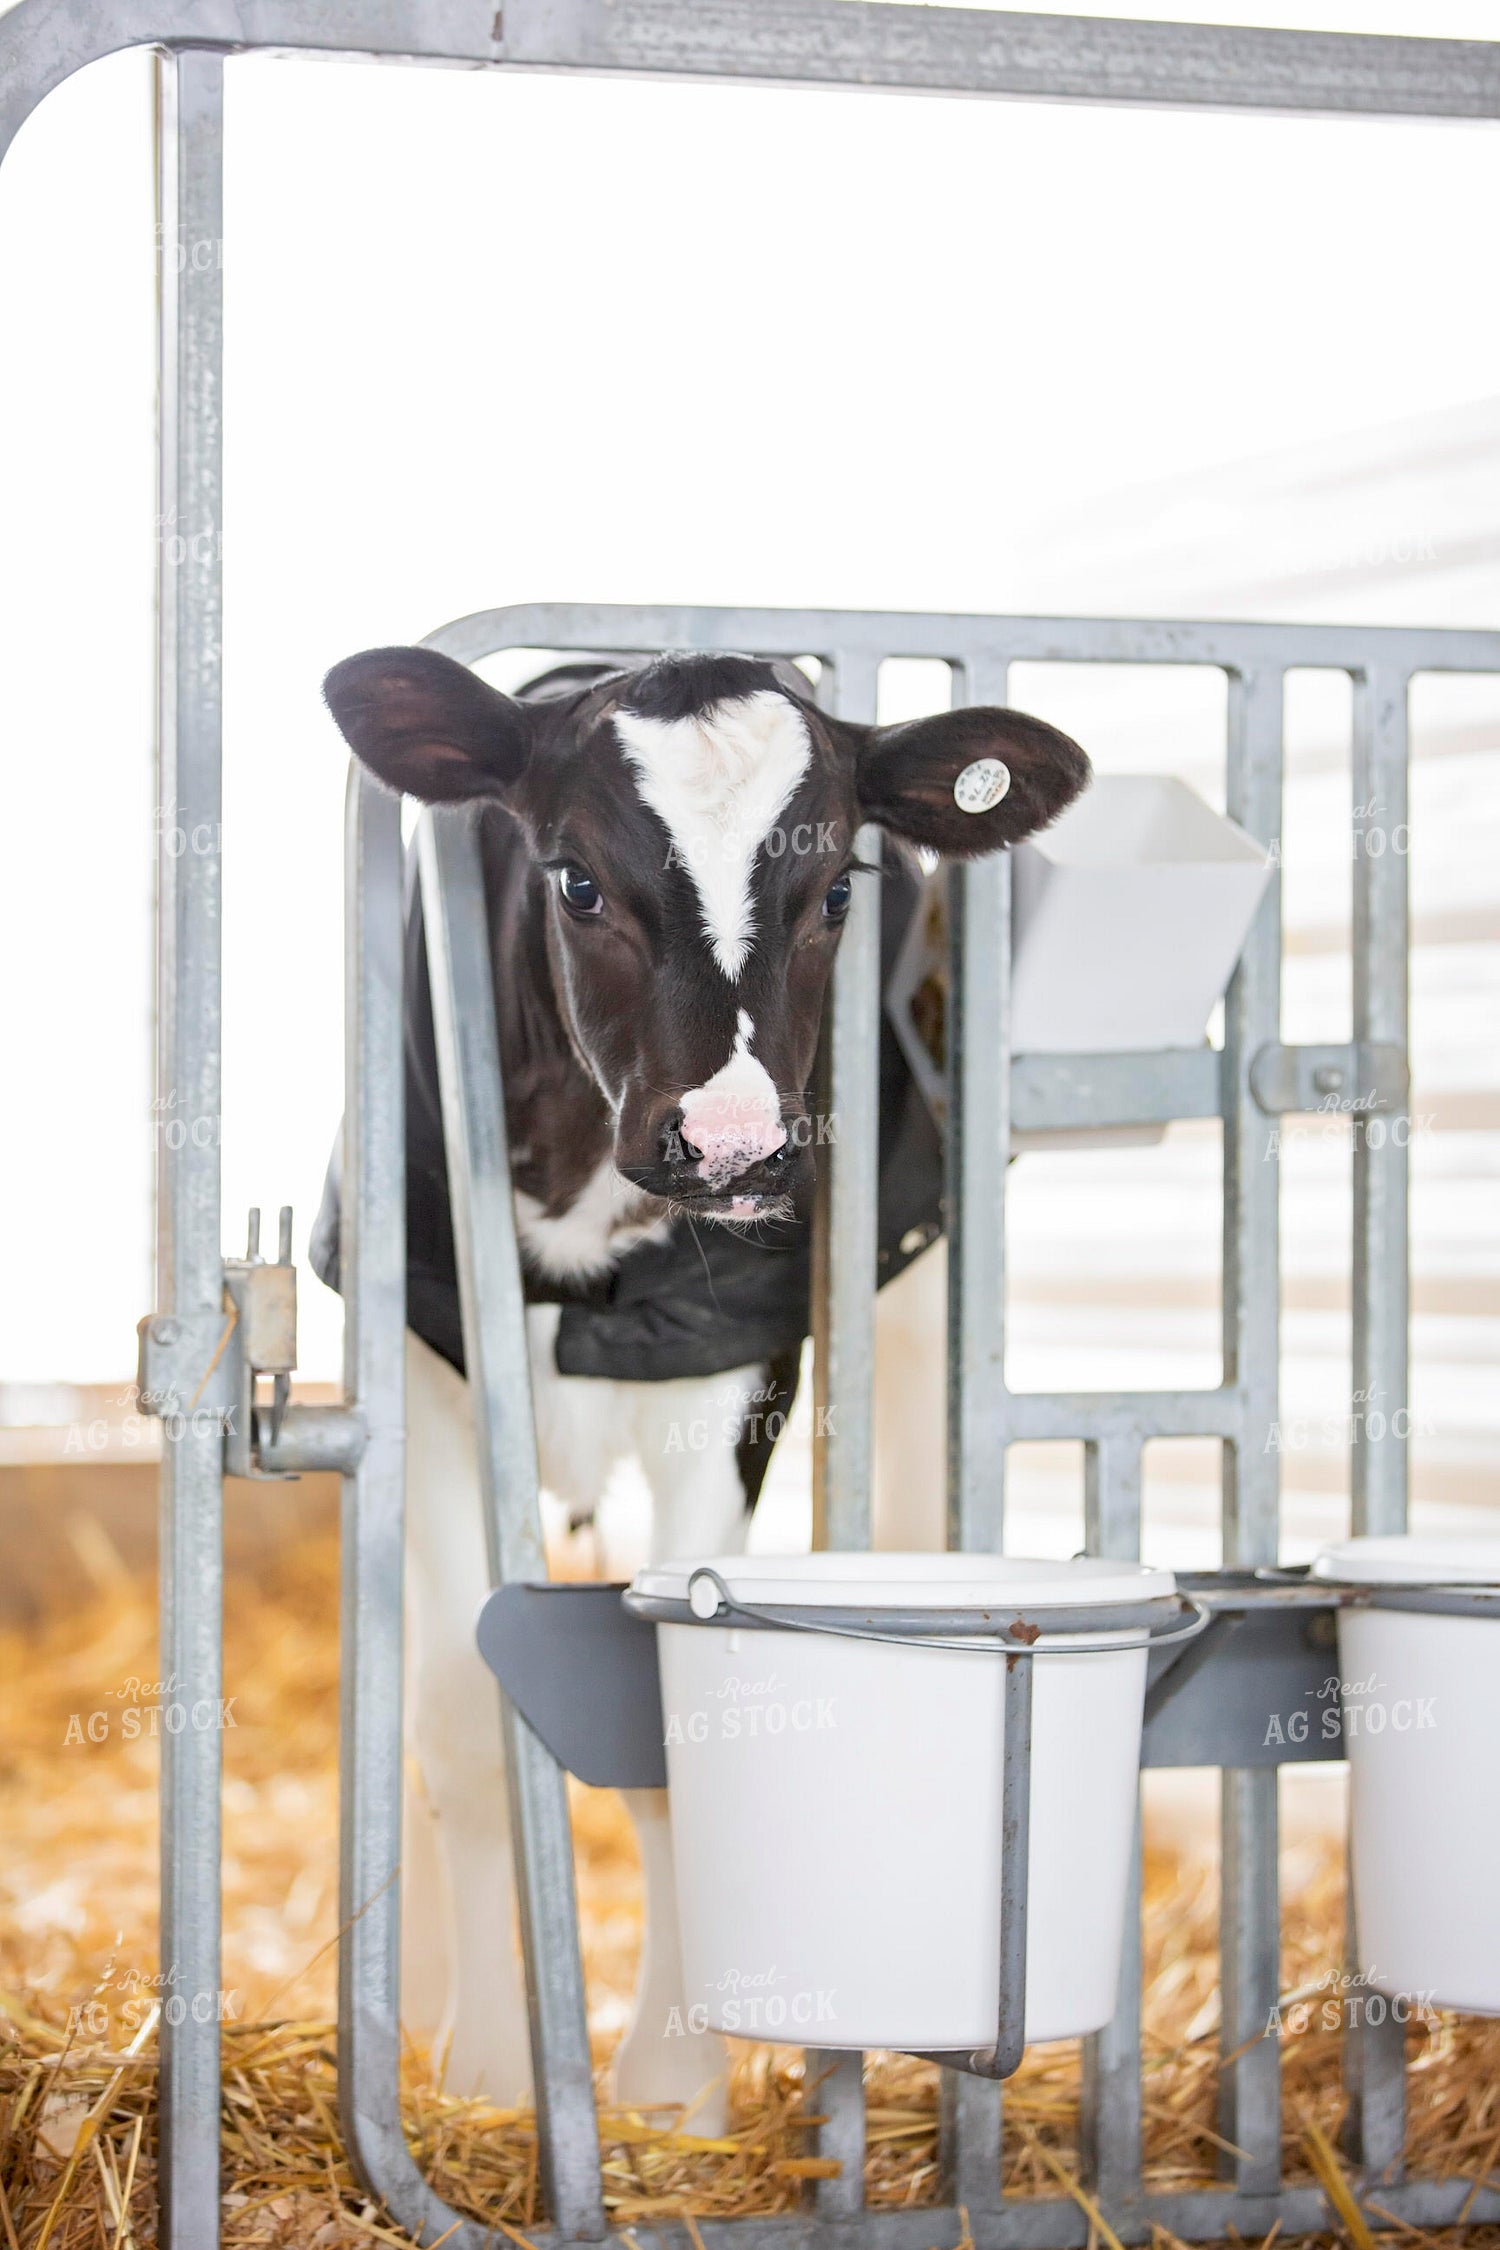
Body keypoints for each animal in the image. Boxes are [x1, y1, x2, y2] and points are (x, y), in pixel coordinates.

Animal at [314, 644, 1090, 2121]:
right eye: (575, 880)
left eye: (837, 887)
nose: (732, 1145)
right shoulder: (433, 1362)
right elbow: (453, 1711)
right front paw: (491, 2061)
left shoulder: (738, 1365)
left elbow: (676, 1712)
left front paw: (676, 2075)